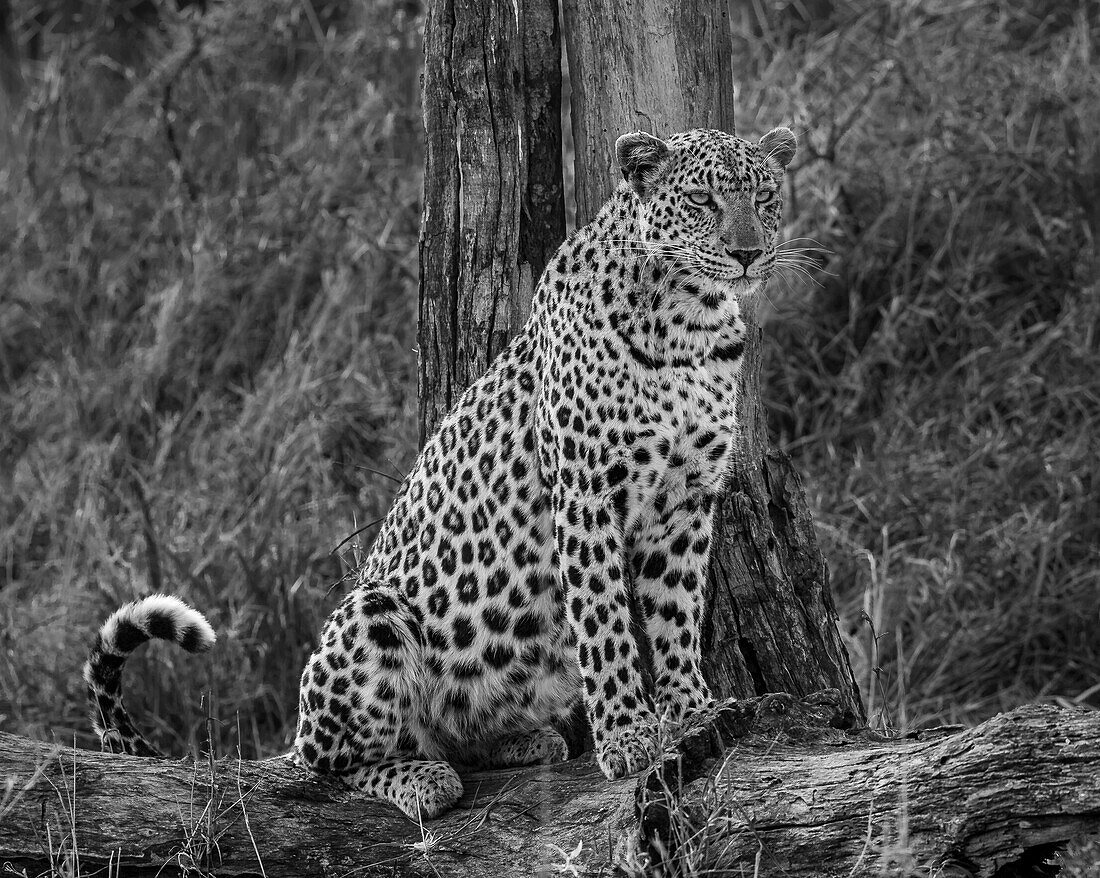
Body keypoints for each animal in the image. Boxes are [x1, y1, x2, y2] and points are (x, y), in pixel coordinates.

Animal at [83, 127, 792, 822]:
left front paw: (693, 707)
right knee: (330, 764)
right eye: (701, 202)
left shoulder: (687, 501)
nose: (749, 254)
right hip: (372, 616)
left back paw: (519, 740)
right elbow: (605, 620)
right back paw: (423, 779)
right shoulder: (586, 493)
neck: (692, 324)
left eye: (765, 197)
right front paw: (627, 735)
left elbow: (677, 610)